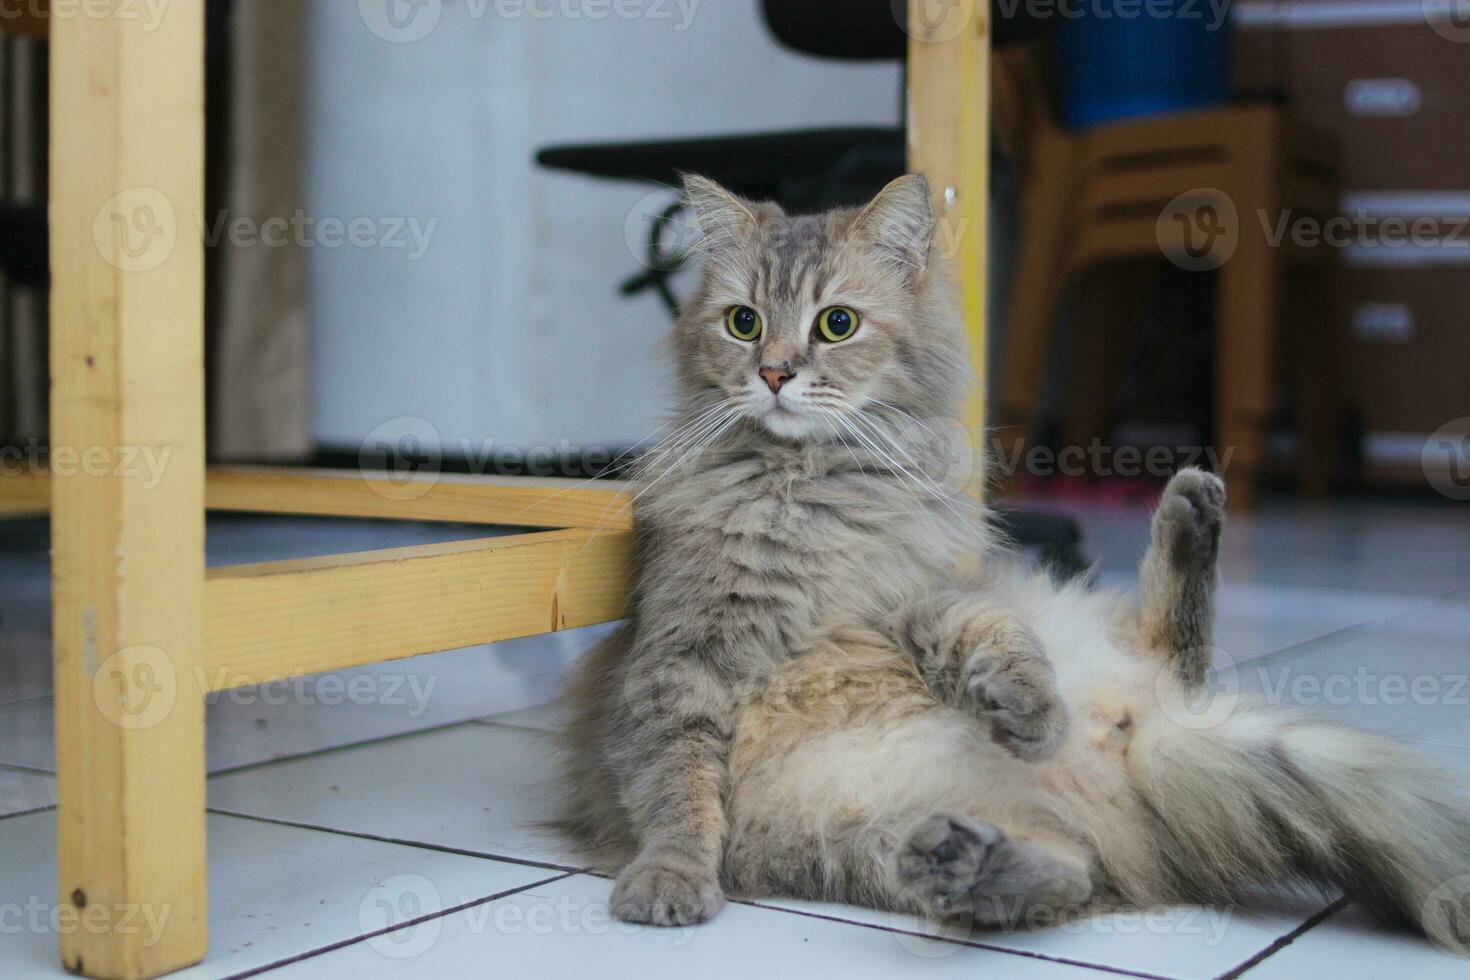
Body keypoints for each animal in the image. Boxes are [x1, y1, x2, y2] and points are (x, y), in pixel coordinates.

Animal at [552, 172, 1470, 952]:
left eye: (835, 324)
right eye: (743, 323)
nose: (775, 373)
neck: (811, 491)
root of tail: (1140, 736)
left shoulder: (920, 596)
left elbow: (983, 634)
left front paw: (1022, 708)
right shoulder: (678, 662)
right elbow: (678, 792)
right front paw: (669, 881)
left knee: (1171, 659)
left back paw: (1187, 516)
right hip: (853, 841)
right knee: (1062, 875)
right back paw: (968, 861)